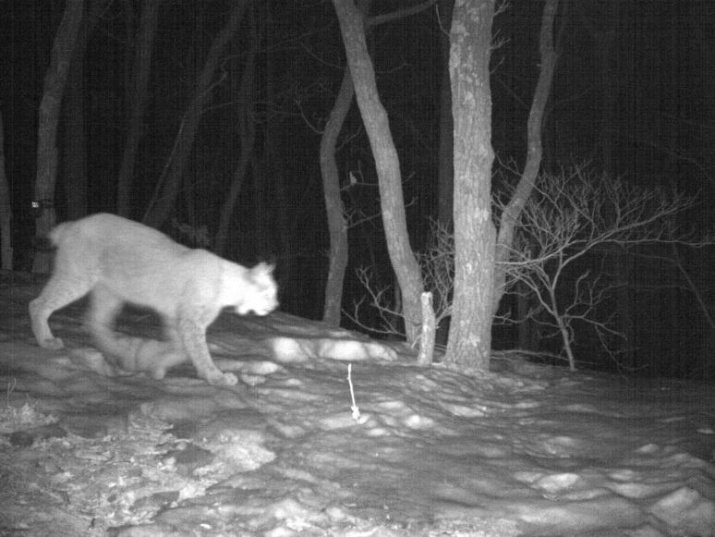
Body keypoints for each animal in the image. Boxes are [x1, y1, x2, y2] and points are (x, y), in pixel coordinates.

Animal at [29, 214, 278, 386]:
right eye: (269, 292)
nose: (275, 306)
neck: (229, 289)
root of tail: (72, 224)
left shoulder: (176, 318)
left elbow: (181, 350)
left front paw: (155, 365)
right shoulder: (190, 322)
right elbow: (198, 351)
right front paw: (216, 377)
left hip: (109, 292)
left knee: (95, 322)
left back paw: (121, 355)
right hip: (77, 277)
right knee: (37, 304)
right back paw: (47, 341)